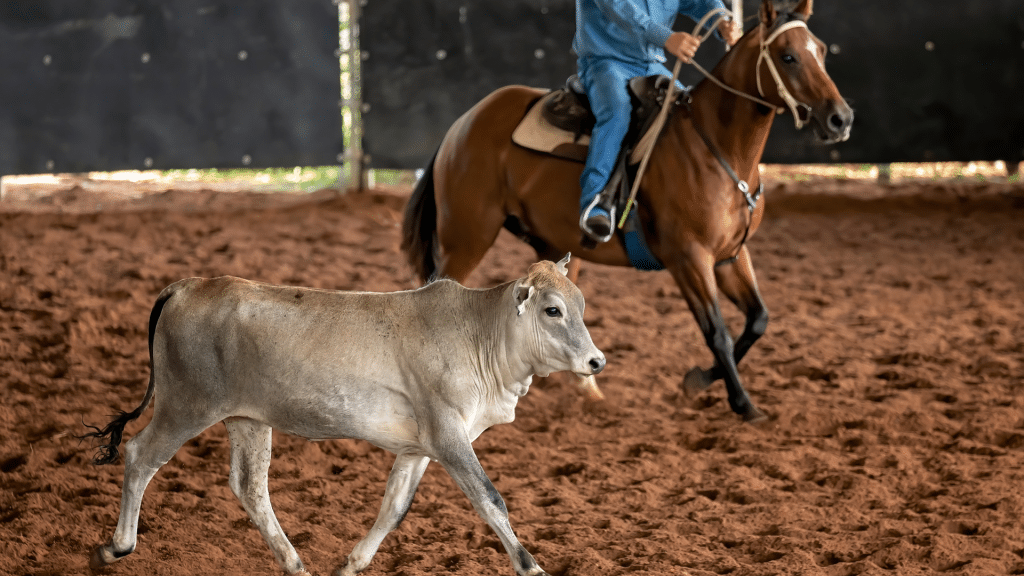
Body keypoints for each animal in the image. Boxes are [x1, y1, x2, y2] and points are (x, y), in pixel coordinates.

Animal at [403, 0, 851, 422]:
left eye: (821, 50)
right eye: (788, 56)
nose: (840, 118)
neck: (715, 149)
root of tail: (463, 124)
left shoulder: (730, 256)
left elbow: (758, 319)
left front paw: (699, 381)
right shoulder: (689, 259)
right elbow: (718, 333)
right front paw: (743, 404)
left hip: (552, 247)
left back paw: (588, 391)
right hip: (466, 239)